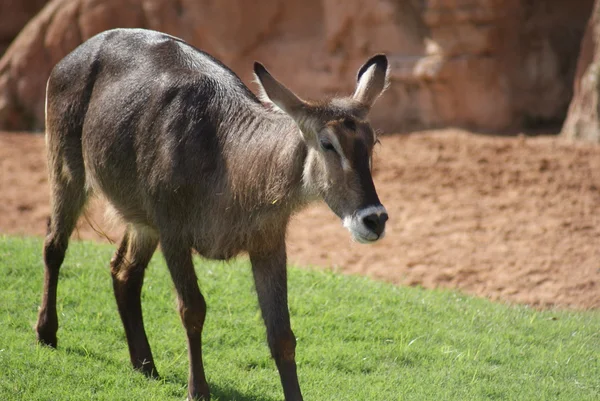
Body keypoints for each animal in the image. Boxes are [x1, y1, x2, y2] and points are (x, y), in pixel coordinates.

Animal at [36, 28, 390, 400]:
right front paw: (198, 390)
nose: (374, 219)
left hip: (141, 219)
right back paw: (47, 333)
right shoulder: (173, 232)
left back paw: (145, 364)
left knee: (123, 272)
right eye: (327, 143)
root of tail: (75, 54)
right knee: (54, 245)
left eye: (372, 142)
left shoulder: (268, 243)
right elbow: (192, 309)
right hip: (67, 171)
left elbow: (282, 334)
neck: (230, 162)